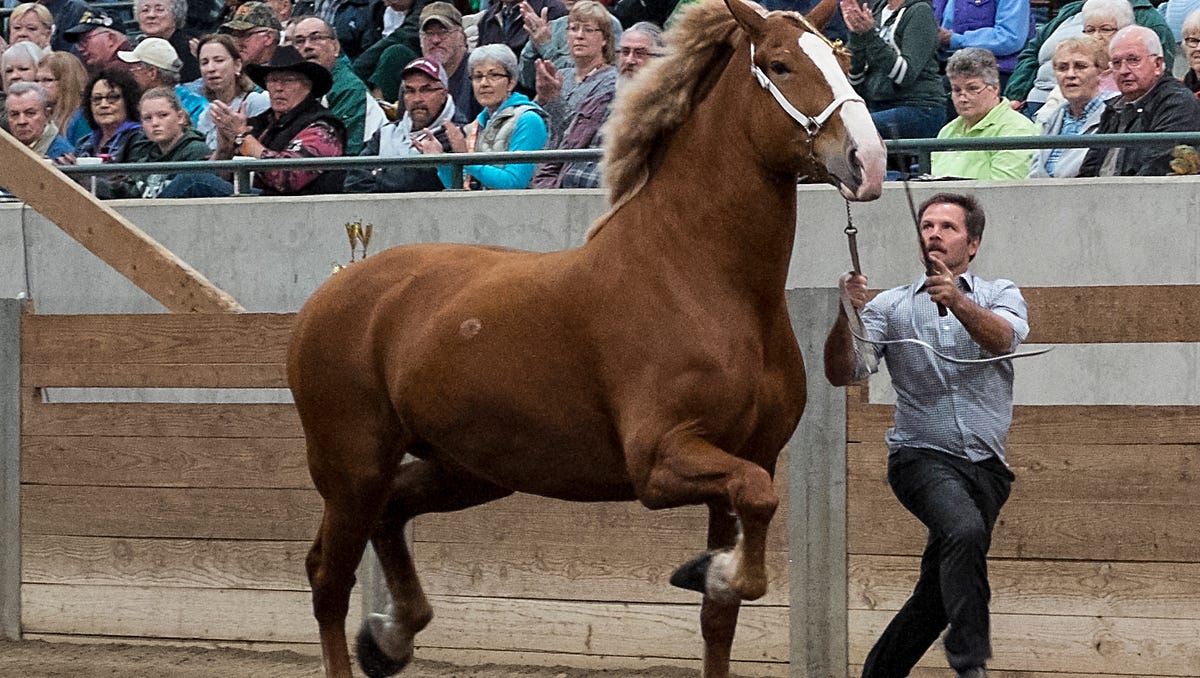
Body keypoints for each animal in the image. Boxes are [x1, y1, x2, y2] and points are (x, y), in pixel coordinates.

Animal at [289, 1, 888, 676]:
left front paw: (713, 572)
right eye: (782, 65)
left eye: (842, 60)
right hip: (352, 466)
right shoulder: (660, 461)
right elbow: (755, 509)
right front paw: (711, 569)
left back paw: (392, 635)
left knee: (390, 513)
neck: (697, 277)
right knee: (328, 580)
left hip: (468, 468)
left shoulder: (745, 461)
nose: (868, 160)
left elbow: (723, 610)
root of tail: (328, 296)